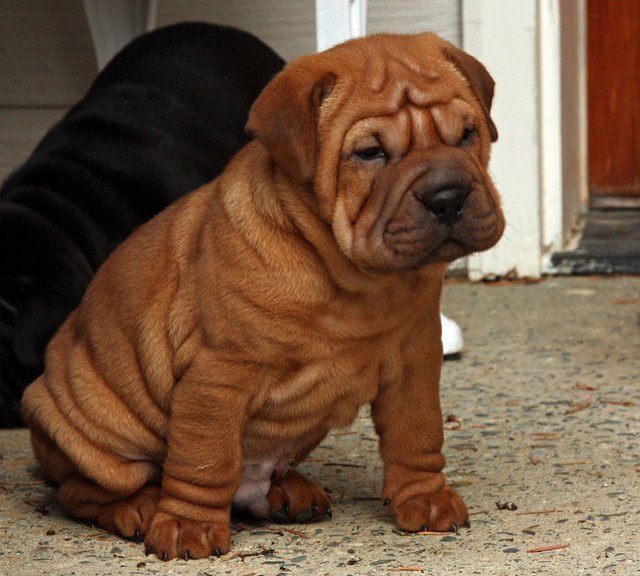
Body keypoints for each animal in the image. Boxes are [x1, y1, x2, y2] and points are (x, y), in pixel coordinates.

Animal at [22, 33, 504, 560]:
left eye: (467, 134)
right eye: (370, 153)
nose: (448, 196)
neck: (353, 282)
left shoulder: (415, 357)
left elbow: (417, 434)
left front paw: (427, 499)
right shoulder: (218, 374)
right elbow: (204, 460)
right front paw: (188, 527)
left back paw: (289, 491)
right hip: (86, 428)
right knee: (83, 490)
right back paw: (140, 508)